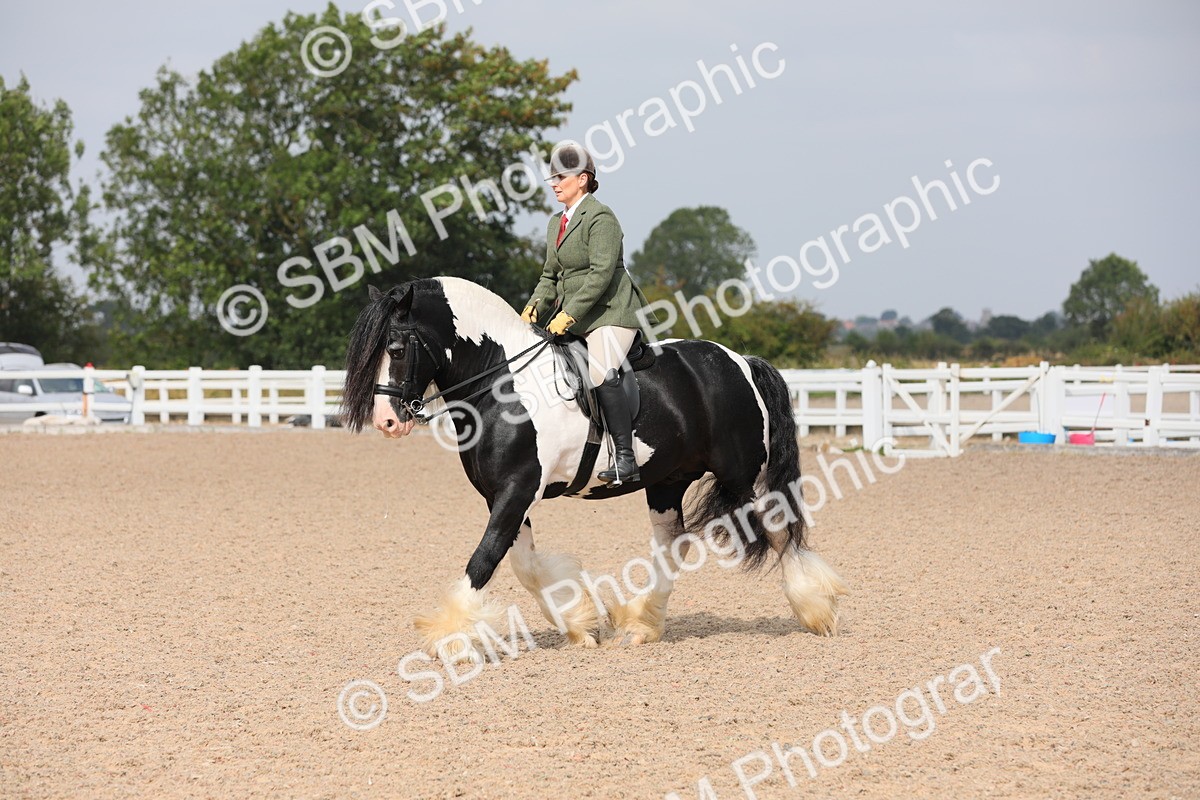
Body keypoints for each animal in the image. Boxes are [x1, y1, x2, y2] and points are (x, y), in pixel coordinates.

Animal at [341, 276, 846, 661]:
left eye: (397, 348)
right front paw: (580, 624)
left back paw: (817, 613)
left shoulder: (516, 490)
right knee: (672, 545)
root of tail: (740, 361)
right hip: (667, 482)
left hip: (743, 477)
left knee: (780, 529)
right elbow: (524, 565)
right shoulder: (504, 494)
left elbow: (484, 560)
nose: (387, 422)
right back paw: (643, 624)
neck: (503, 383)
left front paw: (452, 639)